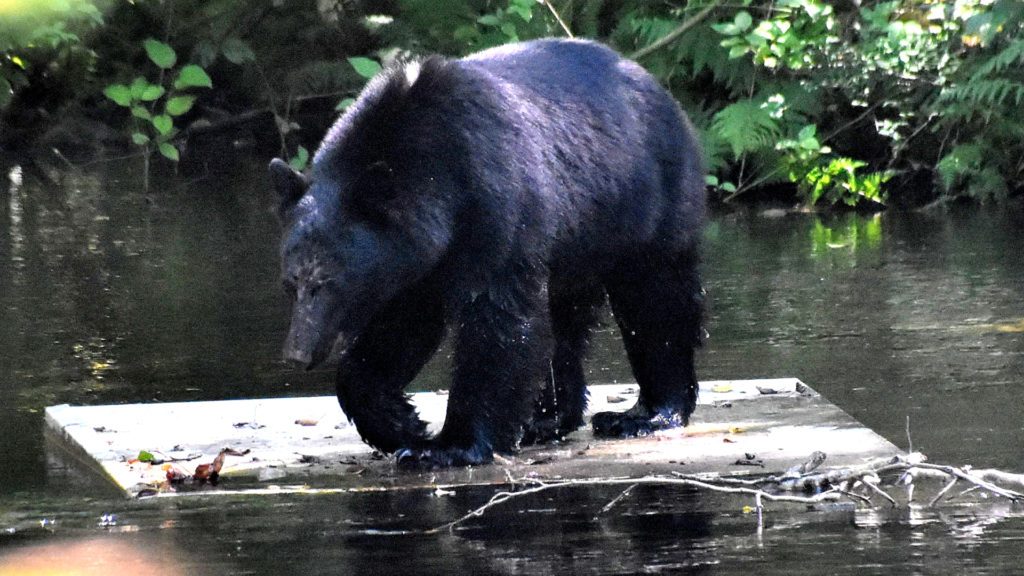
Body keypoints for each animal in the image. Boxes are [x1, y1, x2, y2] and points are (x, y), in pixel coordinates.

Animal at [270, 36, 704, 467]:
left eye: (328, 282)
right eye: (290, 284)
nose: (297, 354)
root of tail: (649, 81)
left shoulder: (494, 200)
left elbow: (497, 318)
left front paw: (449, 445)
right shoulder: (418, 260)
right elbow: (402, 327)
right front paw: (400, 424)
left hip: (647, 202)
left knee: (655, 299)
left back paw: (645, 414)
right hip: (577, 243)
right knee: (563, 322)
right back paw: (546, 420)